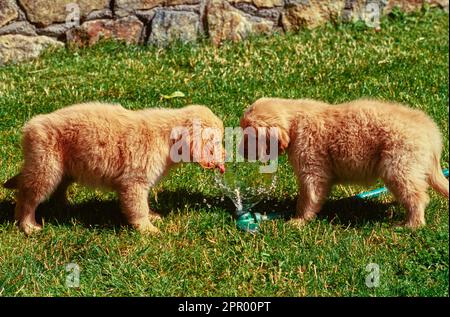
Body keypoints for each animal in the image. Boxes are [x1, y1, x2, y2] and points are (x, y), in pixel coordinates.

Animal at [4, 102, 225, 235]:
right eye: (216, 142)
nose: (225, 158)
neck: (167, 138)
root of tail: (30, 126)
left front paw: (152, 216)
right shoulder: (134, 182)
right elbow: (138, 207)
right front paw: (147, 228)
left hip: (63, 169)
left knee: (58, 190)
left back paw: (64, 207)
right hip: (45, 167)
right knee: (27, 197)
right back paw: (28, 226)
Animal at [239, 97, 446, 228]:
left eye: (250, 136)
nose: (240, 152)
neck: (294, 123)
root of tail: (431, 132)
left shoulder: (312, 169)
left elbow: (308, 196)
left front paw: (299, 220)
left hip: (399, 165)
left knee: (417, 197)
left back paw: (411, 224)